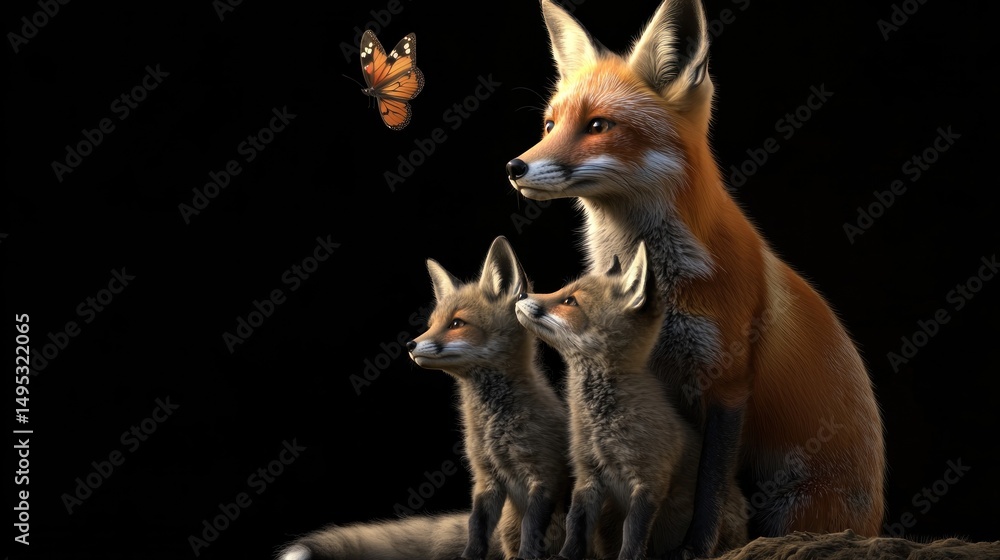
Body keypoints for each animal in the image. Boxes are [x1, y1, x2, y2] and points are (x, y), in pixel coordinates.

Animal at [516, 240, 748, 560]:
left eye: (570, 301)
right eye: (562, 291)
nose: (521, 294)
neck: (602, 424)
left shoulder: (650, 480)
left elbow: (633, 531)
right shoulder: (587, 474)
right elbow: (575, 523)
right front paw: (565, 555)